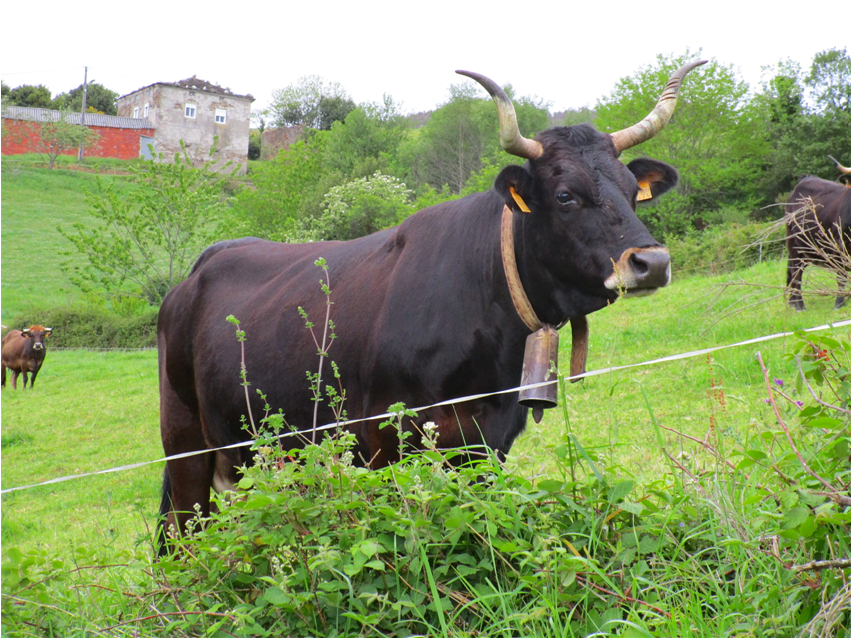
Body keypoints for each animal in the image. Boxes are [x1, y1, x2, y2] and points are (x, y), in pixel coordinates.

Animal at [157, 61, 705, 552]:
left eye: (633, 192)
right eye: (566, 195)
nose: (652, 262)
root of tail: (203, 265)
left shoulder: (487, 444)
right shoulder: (386, 441)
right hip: (185, 443)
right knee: (181, 537)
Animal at [785, 159, 852, 311]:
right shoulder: (840, 247)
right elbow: (842, 276)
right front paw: (839, 302)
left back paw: (792, 302)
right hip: (794, 245)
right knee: (796, 273)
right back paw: (799, 305)